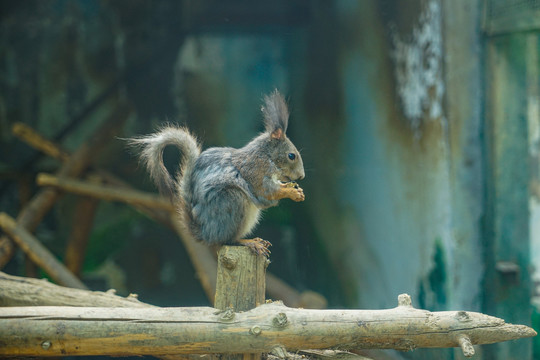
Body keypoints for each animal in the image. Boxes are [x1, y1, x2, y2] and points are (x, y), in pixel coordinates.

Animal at [126, 90, 304, 256]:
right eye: (291, 156)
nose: (301, 176)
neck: (266, 156)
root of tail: (205, 234)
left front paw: (295, 189)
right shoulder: (256, 172)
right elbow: (267, 192)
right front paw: (291, 192)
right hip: (233, 201)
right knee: (225, 241)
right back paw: (249, 242)